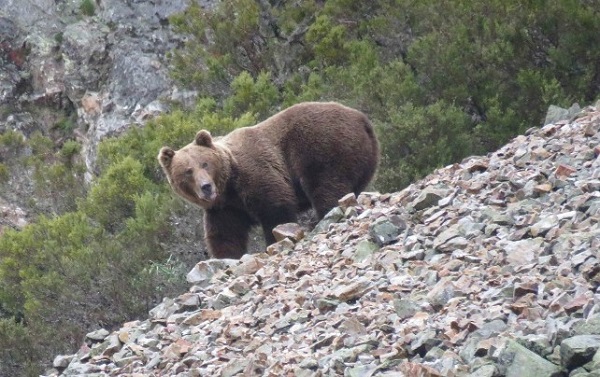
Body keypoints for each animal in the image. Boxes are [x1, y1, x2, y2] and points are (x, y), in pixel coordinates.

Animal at [157, 100, 378, 258]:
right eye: (188, 171)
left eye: (204, 164)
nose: (206, 187)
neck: (228, 186)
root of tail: (362, 119)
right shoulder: (224, 208)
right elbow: (224, 235)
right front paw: (226, 257)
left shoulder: (256, 173)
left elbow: (275, 209)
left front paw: (276, 240)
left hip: (322, 146)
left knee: (326, 187)